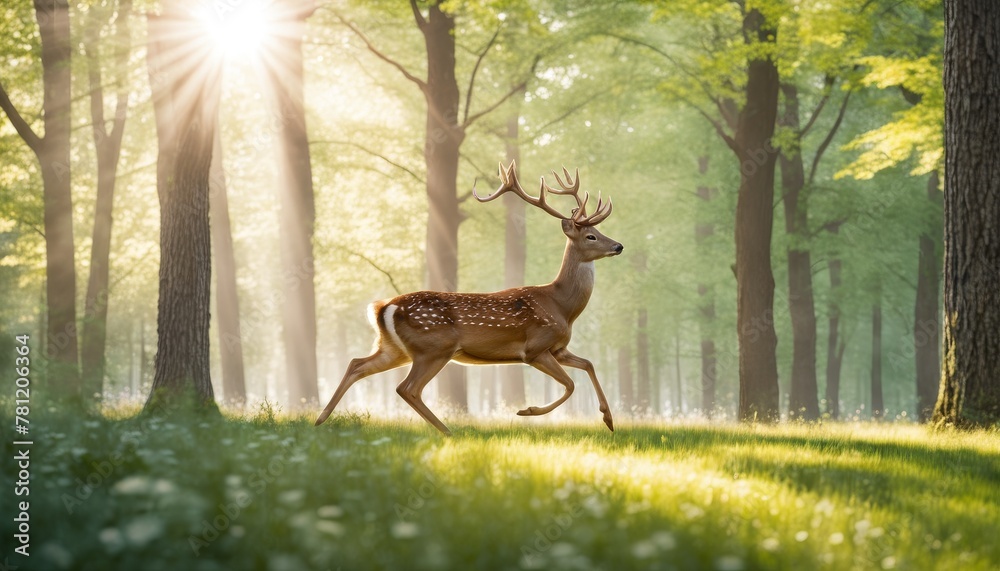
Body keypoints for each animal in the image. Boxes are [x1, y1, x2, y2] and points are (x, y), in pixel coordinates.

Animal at [314, 160, 623, 435]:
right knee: (407, 388)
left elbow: (589, 364)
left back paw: (320, 420)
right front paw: (527, 411)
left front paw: (608, 419)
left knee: (357, 364)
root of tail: (382, 308)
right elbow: (570, 384)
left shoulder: (558, 348)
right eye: (591, 236)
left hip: (395, 348)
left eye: (599, 231)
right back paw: (448, 431)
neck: (562, 306)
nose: (618, 246)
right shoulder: (535, 348)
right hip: (434, 347)